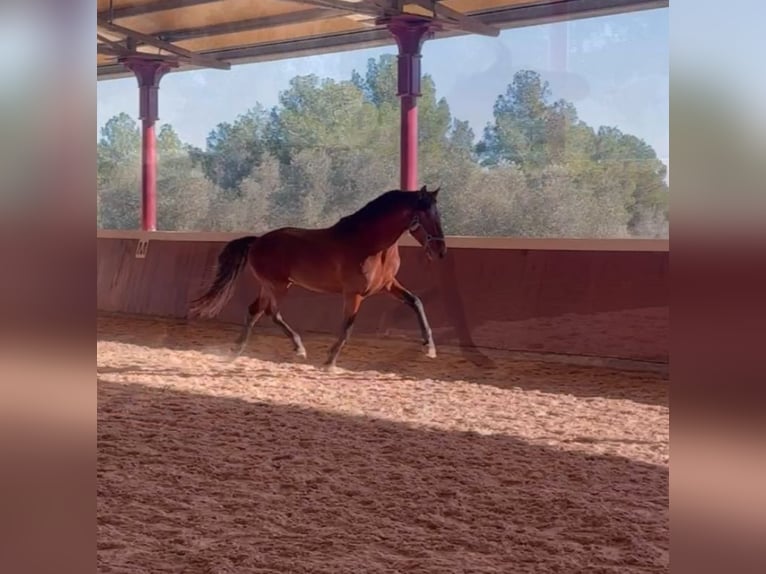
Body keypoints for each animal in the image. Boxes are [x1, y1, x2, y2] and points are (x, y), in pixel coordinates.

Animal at [188, 187, 448, 372]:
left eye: (439, 215)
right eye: (424, 217)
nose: (440, 251)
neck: (372, 244)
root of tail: (257, 241)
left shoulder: (388, 285)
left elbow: (416, 302)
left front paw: (429, 347)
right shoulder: (353, 294)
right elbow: (347, 328)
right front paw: (329, 362)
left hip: (271, 286)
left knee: (255, 311)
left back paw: (236, 351)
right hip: (278, 286)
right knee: (271, 312)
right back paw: (298, 348)